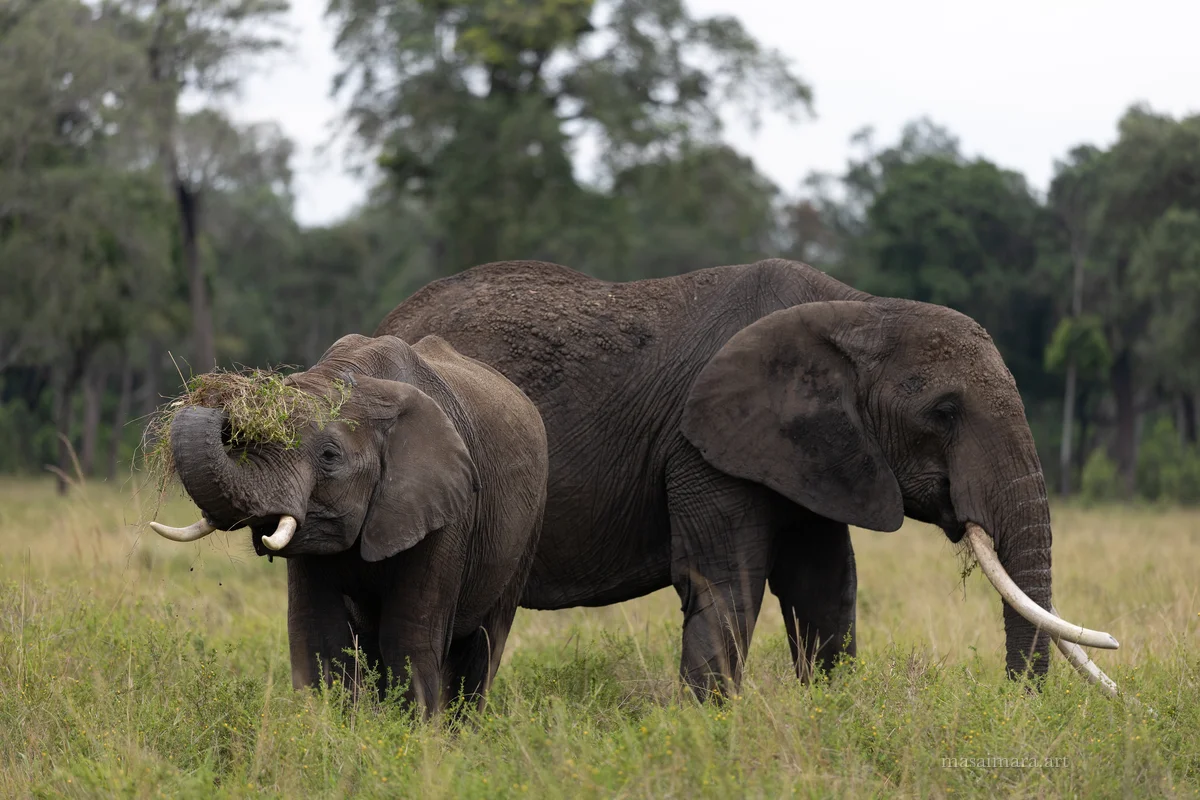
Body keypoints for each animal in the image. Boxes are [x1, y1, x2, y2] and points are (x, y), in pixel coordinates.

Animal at [149, 333, 548, 717]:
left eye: (329, 456)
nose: (221, 398)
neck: (362, 380)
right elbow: (318, 633)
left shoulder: (447, 510)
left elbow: (409, 636)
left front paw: (409, 735)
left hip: (528, 526)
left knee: (484, 645)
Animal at [373, 258, 1118, 698]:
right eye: (944, 412)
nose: (1016, 707)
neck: (859, 311)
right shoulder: (703, 444)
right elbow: (725, 582)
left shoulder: (815, 451)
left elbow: (824, 586)